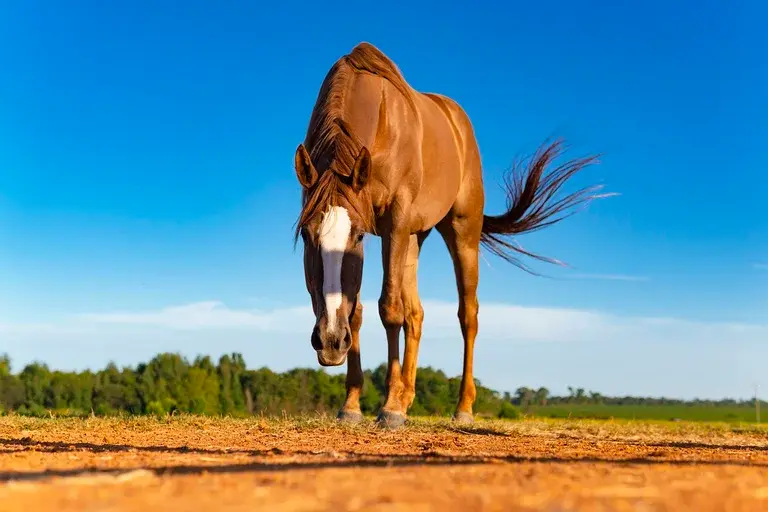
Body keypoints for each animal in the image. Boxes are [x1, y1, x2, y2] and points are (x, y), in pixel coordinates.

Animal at [294, 41, 608, 428]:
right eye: (307, 236)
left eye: (356, 237)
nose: (330, 341)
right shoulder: (385, 230)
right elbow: (359, 311)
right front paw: (353, 404)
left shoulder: (392, 223)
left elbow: (389, 309)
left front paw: (389, 408)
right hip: (414, 237)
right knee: (416, 314)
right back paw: (406, 396)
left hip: (461, 232)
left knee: (467, 315)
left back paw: (461, 407)